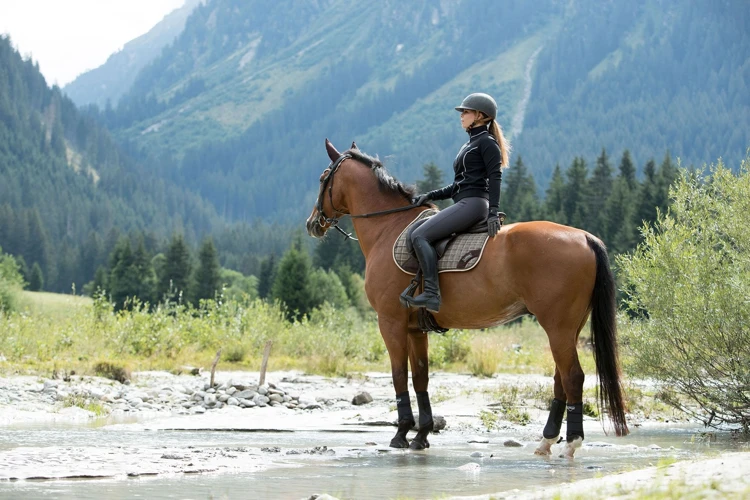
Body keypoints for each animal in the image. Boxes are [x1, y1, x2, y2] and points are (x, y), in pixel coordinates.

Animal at [306, 138, 628, 458]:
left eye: (323, 178)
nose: (312, 223)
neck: (388, 229)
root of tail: (585, 237)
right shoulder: (415, 329)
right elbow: (421, 377)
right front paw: (421, 435)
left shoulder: (390, 322)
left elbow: (399, 375)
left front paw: (401, 434)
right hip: (569, 328)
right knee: (561, 378)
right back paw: (547, 440)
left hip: (557, 327)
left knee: (572, 376)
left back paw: (572, 442)